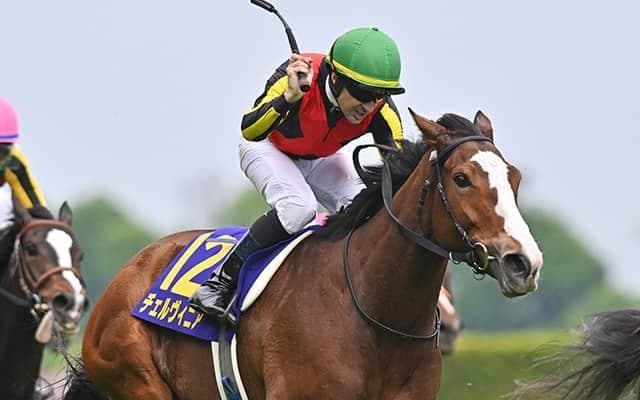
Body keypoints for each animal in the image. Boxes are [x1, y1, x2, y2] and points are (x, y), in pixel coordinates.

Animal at [64, 109, 543, 400]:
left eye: (514, 178)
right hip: (136, 377)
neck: (375, 313)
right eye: (461, 179)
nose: (525, 263)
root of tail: (127, 274)